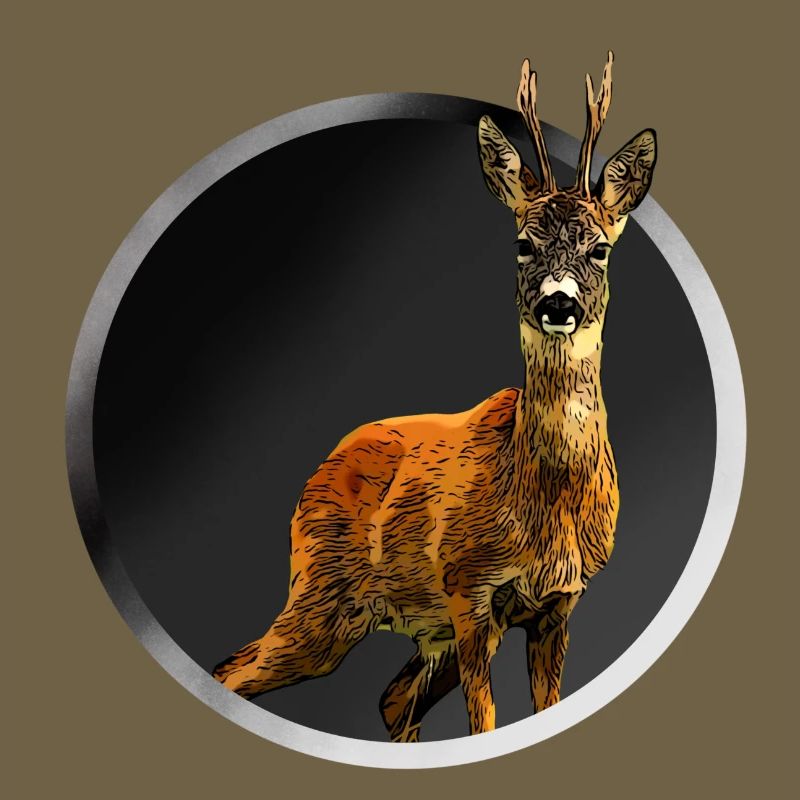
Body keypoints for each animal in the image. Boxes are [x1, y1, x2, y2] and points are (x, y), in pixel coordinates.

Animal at [212, 51, 656, 740]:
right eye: (522, 243)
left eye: (601, 248)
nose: (558, 304)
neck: (542, 503)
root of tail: (320, 469)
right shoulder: (468, 589)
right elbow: (486, 724)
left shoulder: (557, 605)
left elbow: (543, 706)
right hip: (321, 595)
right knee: (235, 670)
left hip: (409, 624)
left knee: (390, 698)